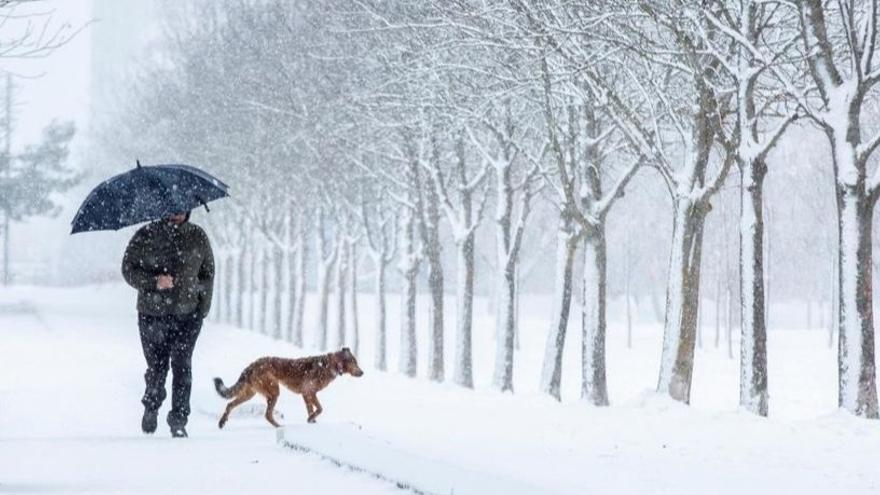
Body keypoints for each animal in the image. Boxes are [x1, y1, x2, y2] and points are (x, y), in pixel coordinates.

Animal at [214, 346, 364, 428]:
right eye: (355, 362)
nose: (362, 373)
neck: (331, 365)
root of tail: (251, 366)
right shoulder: (308, 392)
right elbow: (319, 408)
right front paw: (311, 419)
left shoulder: (308, 394)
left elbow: (313, 409)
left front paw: (312, 422)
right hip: (274, 391)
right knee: (267, 414)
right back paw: (278, 426)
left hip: (249, 394)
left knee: (229, 404)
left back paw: (222, 422)